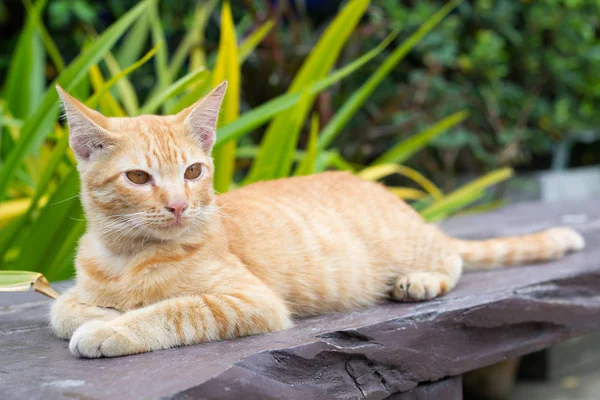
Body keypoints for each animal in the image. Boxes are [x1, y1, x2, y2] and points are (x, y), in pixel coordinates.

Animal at [49, 83, 584, 358]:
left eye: (193, 172)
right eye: (139, 177)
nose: (179, 205)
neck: (128, 257)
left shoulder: (251, 301)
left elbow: (173, 310)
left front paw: (111, 329)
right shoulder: (77, 287)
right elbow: (63, 308)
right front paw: (102, 314)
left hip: (415, 247)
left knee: (452, 258)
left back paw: (420, 280)